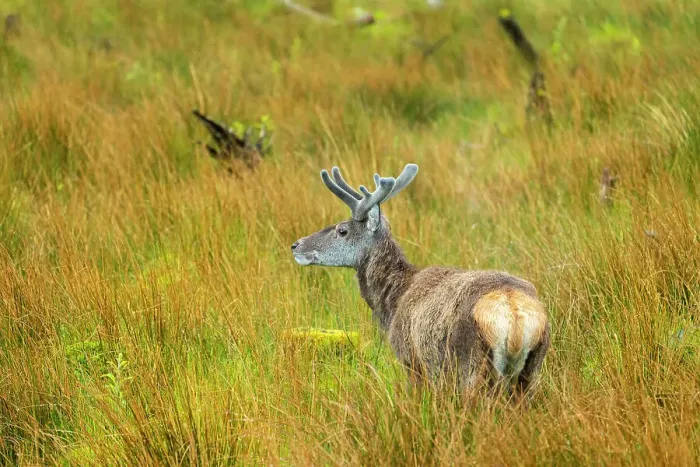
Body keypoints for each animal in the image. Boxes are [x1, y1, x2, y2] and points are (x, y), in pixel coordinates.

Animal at [291, 163, 550, 399]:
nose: (296, 245)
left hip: (473, 368)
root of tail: (514, 313)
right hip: (531, 370)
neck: (393, 301)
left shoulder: (411, 360)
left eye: (342, 230)